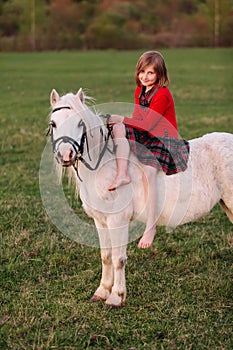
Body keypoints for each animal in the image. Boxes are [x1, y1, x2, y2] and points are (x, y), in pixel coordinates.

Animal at [48, 88, 232, 306]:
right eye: (53, 123)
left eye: (79, 122)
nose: (65, 155)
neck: (106, 166)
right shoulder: (100, 220)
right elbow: (106, 256)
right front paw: (102, 291)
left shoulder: (117, 220)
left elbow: (118, 258)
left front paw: (116, 296)